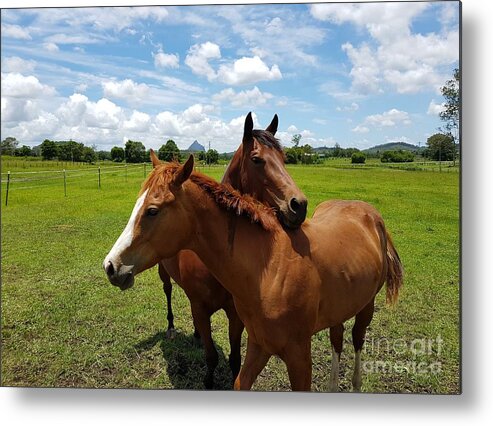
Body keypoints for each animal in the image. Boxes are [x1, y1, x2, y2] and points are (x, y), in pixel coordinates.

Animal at [102, 155, 402, 392]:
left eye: (152, 210)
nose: (111, 266)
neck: (268, 271)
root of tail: (373, 216)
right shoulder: (258, 345)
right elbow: (239, 380)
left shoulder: (299, 356)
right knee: (337, 339)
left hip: (366, 306)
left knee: (357, 339)